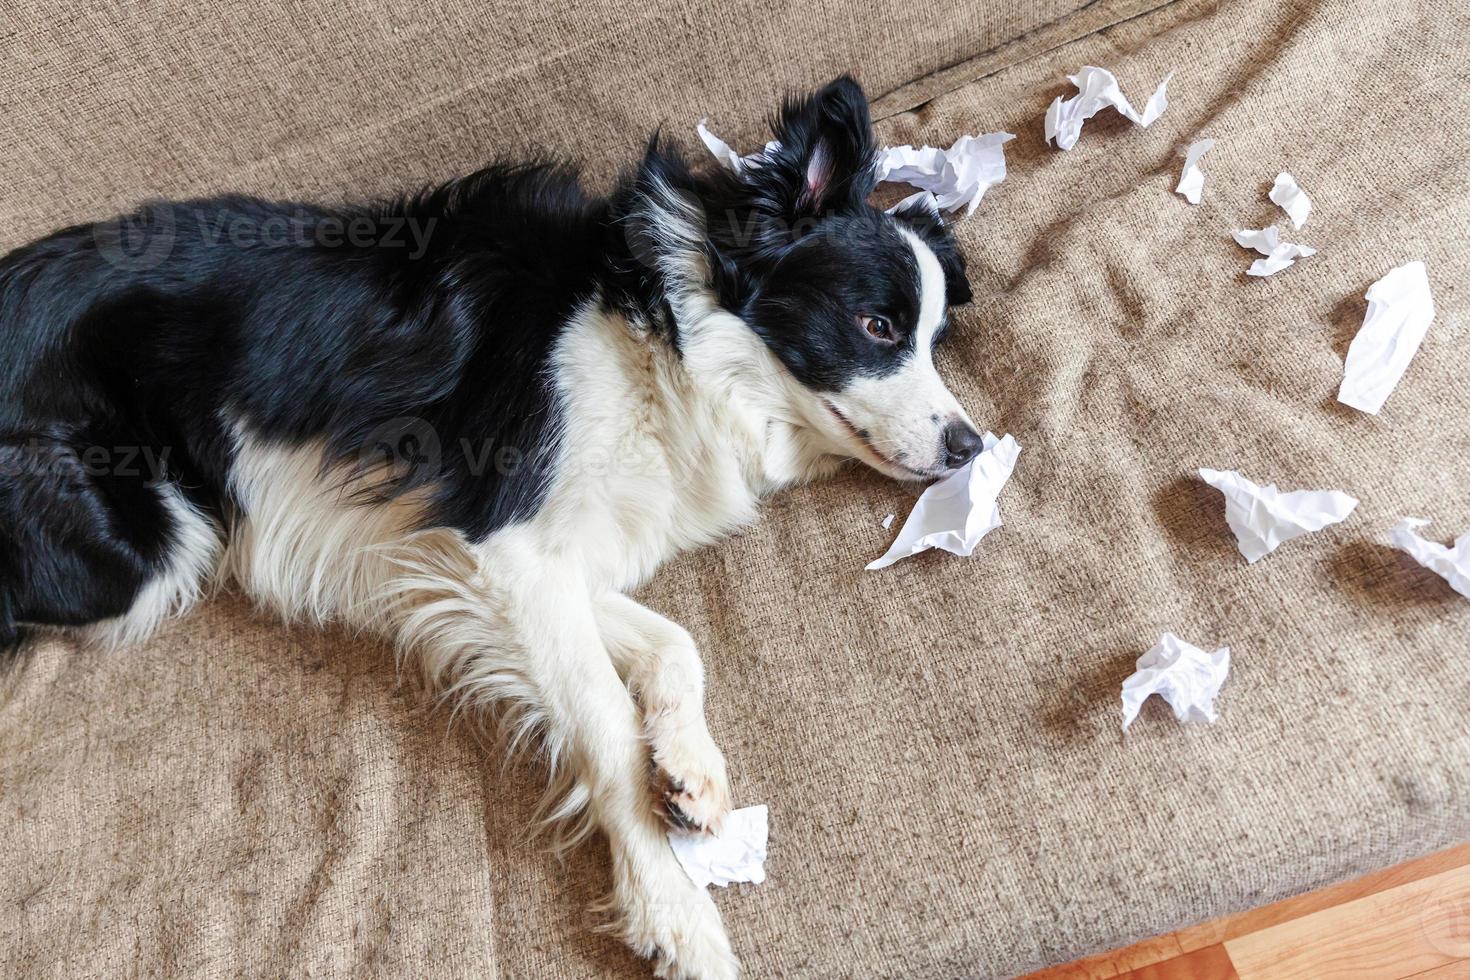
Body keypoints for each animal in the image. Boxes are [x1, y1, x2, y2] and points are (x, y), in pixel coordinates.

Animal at [5, 76, 981, 980]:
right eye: (877, 324)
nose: (970, 445)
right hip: (154, 542)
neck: (667, 335)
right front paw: (672, 909)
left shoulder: (506, 559)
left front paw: (691, 772)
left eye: (935, 339)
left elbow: (674, 644)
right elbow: (602, 722)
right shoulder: (507, 547)